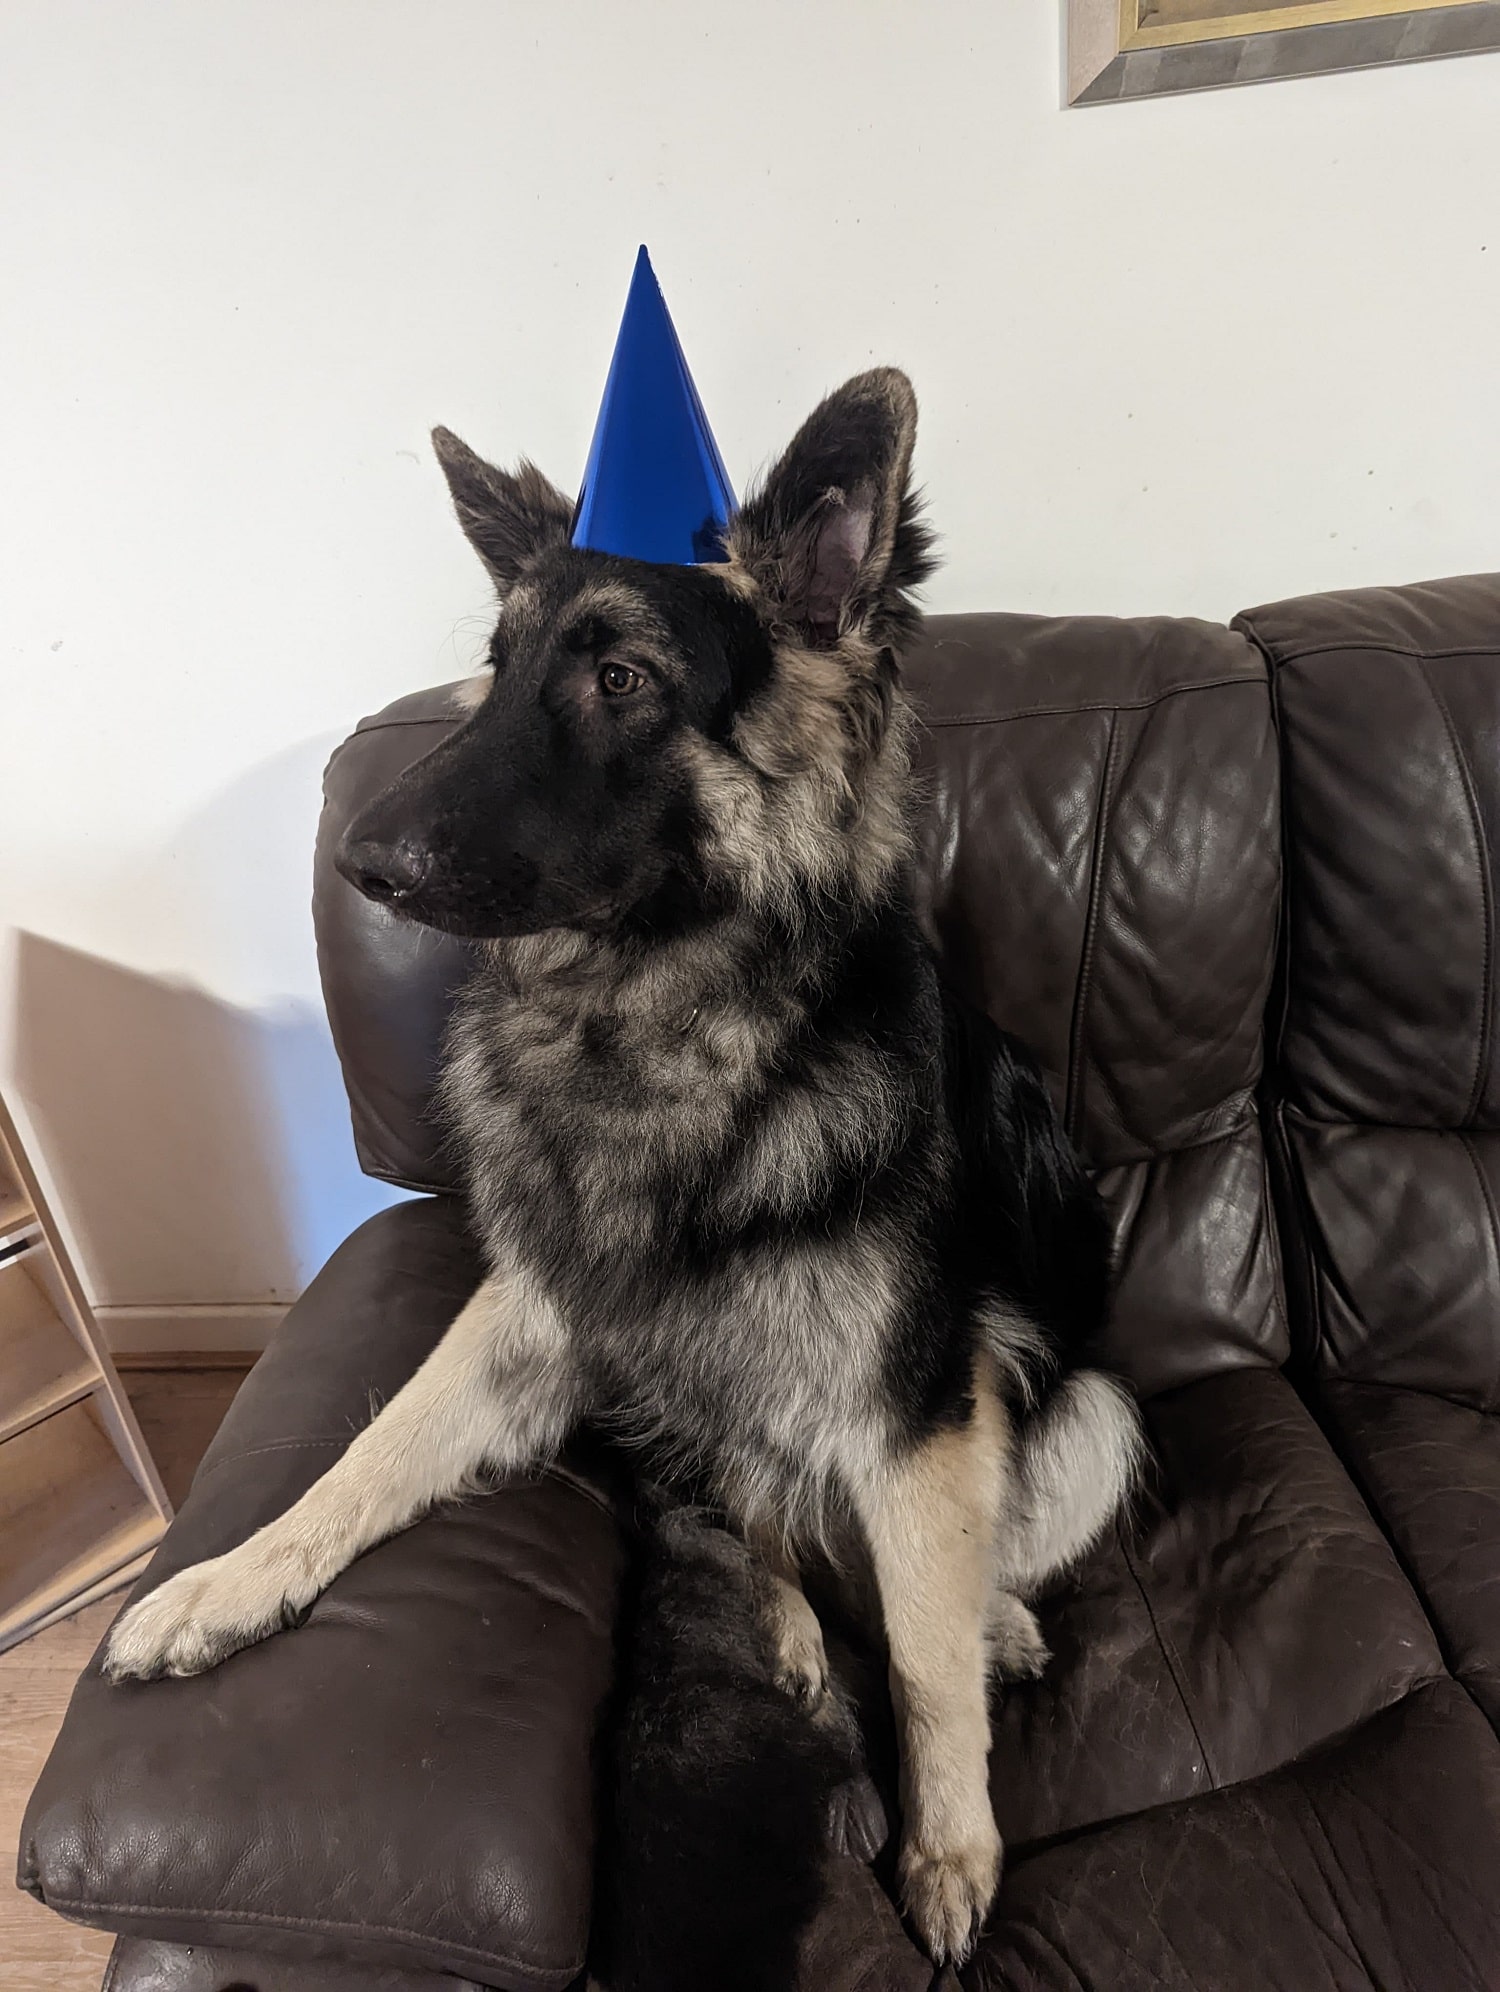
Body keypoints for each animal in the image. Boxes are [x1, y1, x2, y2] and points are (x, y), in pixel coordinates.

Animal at [102, 370, 1131, 1960]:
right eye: (497, 664)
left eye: (624, 680)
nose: (360, 864)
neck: (650, 1024)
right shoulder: (528, 1319)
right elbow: (365, 1453)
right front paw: (225, 1580)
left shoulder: (918, 1412)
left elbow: (923, 1665)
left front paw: (953, 1847)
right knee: (770, 1533)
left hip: (1085, 1411)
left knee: (943, 1578)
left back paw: (990, 1623)